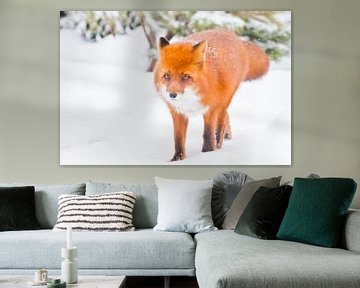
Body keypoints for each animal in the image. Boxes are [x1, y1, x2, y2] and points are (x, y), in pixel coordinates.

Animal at [153, 28, 268, 162]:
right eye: (167, 76)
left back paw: (219, 141)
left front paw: (208, 154)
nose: (172, 95)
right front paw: (177, 160)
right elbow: (178, 140)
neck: (190, 100)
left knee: (221, 121)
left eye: (186, 77)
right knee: (226, 118)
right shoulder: (178, 113)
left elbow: (208, 135)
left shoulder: (211, 109)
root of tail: (230, 33)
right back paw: (227, 135)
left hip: (224, 101)